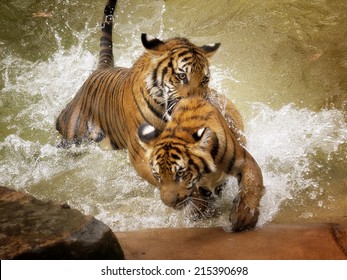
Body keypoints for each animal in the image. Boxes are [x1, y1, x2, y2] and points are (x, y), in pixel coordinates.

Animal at [55, 0, 232, 183]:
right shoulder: (138, 151)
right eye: (182, 76)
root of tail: (101, 69)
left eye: (205, 79)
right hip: (73, 135)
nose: (199, 106)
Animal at [137, 96, 266, 232]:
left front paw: (244, 217)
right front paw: (198, 212)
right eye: (157, 176)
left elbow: (252, 184)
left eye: (180, 173)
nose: (170, 204)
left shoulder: (244, 161)